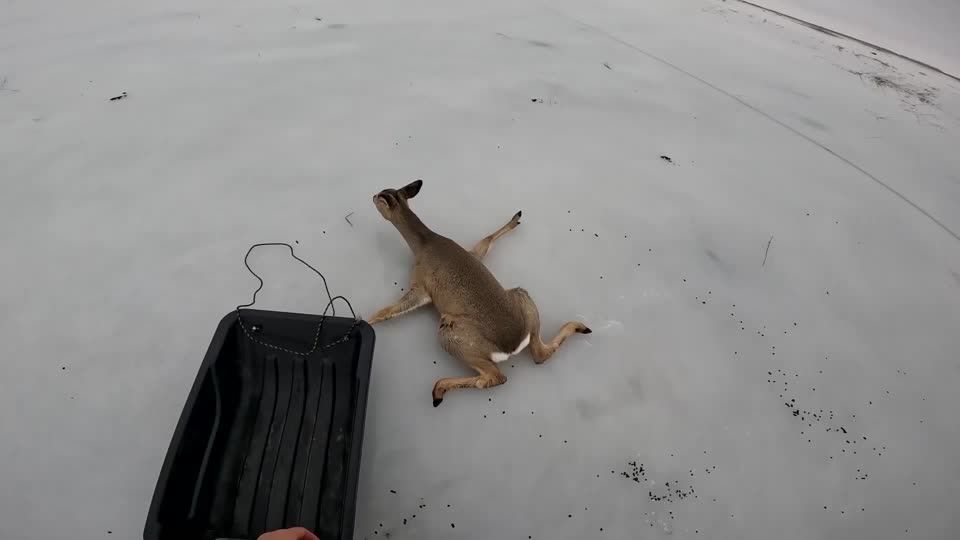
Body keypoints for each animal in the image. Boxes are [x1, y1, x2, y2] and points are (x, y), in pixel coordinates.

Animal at [367, 180, 591, 406]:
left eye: (380, 197)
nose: (372, 195)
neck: (426, 243)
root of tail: (512, 346)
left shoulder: (421, 287)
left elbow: (388, 311)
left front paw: (364, 319)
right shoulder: (473, 253)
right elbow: (486, 240)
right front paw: (516, 218)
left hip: (450, 333)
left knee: (494, 377)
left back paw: (438, 391)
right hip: (522, 297)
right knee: (540, 354)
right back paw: (582, 327)